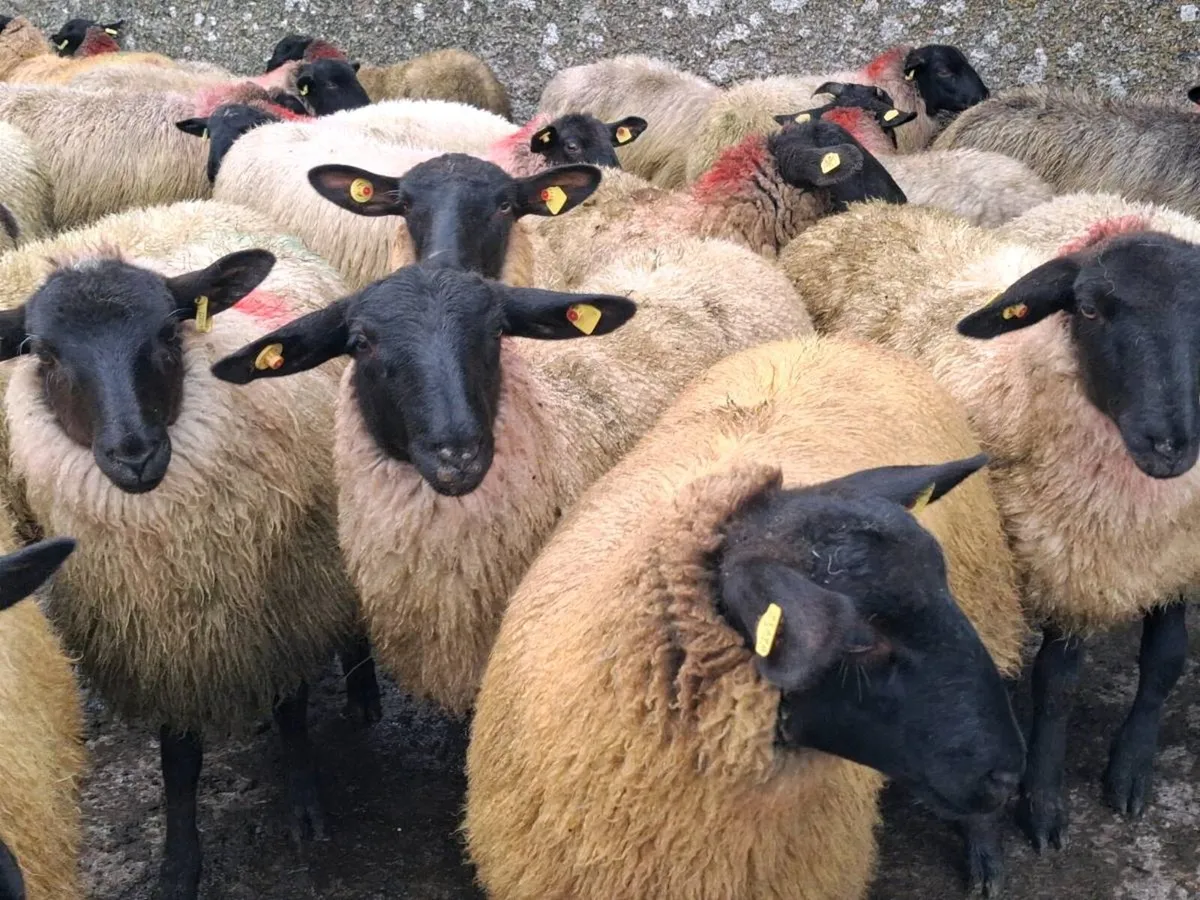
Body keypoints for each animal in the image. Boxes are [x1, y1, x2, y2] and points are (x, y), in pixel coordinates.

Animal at [0, 221, 374, 899]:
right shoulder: (162, 643)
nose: (135, 454)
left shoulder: (286, 602)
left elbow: (292, 710)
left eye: (168, 332)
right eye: (42, 353)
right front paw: (178, 864)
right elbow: (178, 763)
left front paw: (304, 805)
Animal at [780, 199, 1200, 856]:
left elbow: (1165, 661)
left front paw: (1130, 771)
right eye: (1087, 309)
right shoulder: (1057, 557)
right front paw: (1043, 804)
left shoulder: (1174, 555)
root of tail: (862, 213)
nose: (1169, 445)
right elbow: (1057, 687)